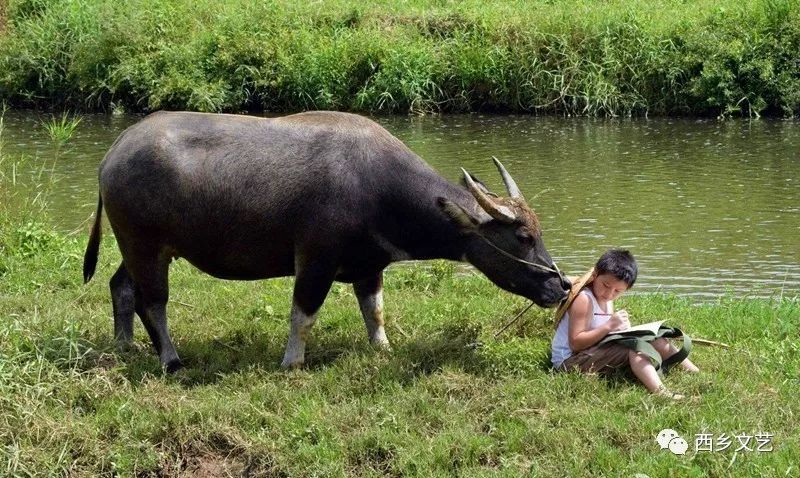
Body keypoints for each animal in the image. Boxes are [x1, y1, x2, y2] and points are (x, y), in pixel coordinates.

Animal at [83, 110, 568, 372]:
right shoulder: (314, 260)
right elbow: (303, 315)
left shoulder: (371, 267)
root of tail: (113, 152)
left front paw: (382, 349)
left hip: (143, 248)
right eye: (523, 236)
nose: (559, 285)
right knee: (153, 302)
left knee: (121, 287)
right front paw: (292, 362)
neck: (378, 187)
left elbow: (375, 313)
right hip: (144, 246)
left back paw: (124, 345)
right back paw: (170, 359)